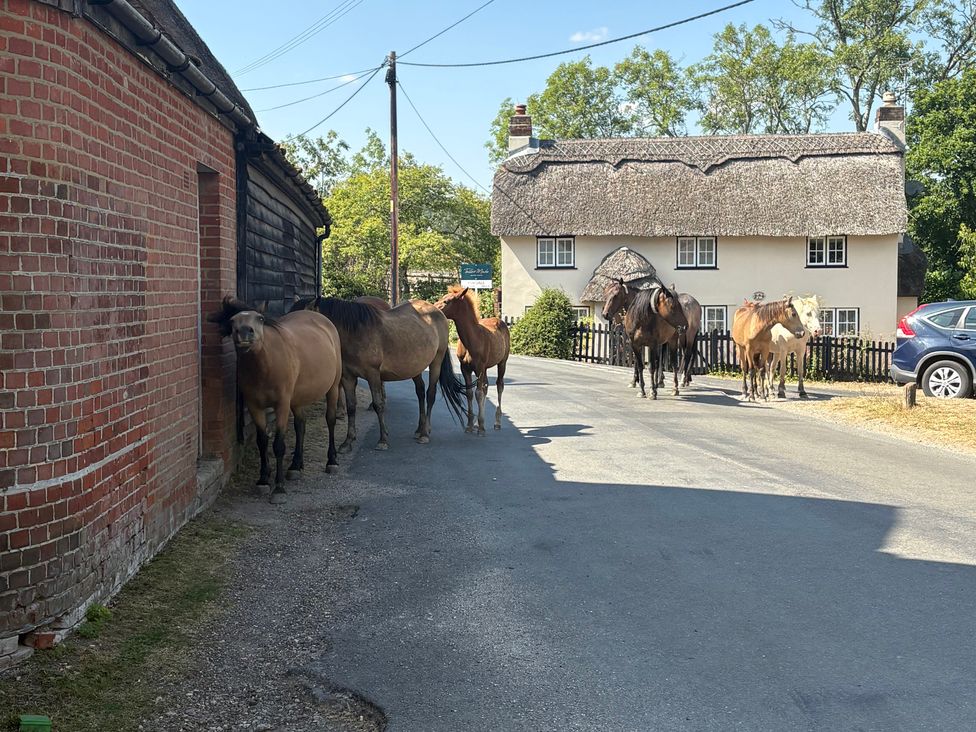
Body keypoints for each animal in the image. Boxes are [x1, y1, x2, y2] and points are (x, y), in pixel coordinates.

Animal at [208, 297, 342, 503]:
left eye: (260, 318)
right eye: (232, 321)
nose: (244, 332)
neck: (266, 366)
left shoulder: (282, 405)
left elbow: (278, 445)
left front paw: (278, 488)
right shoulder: (254, 406)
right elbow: (262, 441)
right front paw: (263, 479)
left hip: (333, 388)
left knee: (330, 420)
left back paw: (332, 461)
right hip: (297, 399)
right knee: (301, 424)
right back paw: (295, 466)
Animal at [292, 296, 467, 451]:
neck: (355, 333)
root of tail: (438, 312)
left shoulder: (373, 375)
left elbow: (378, 404)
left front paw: (382, 440)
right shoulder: (348, 377)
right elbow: (351, 407)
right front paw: (348, 442)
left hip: (436, 361)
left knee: (430, 394)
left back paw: (425, 433)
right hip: (415, 366)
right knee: (420, 392)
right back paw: (419, 429)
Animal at [434, 286, 511, 434]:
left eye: (446, 301)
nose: (434, 309)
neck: (472, 339)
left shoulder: (479, 367)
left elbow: (478, 393)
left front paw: (481, 428)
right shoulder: (465, 368)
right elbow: (469, 393)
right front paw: (470, 425)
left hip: (502, 362)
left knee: (499, 385)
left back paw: (497, 422)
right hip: (486, 368)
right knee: (486, 386)